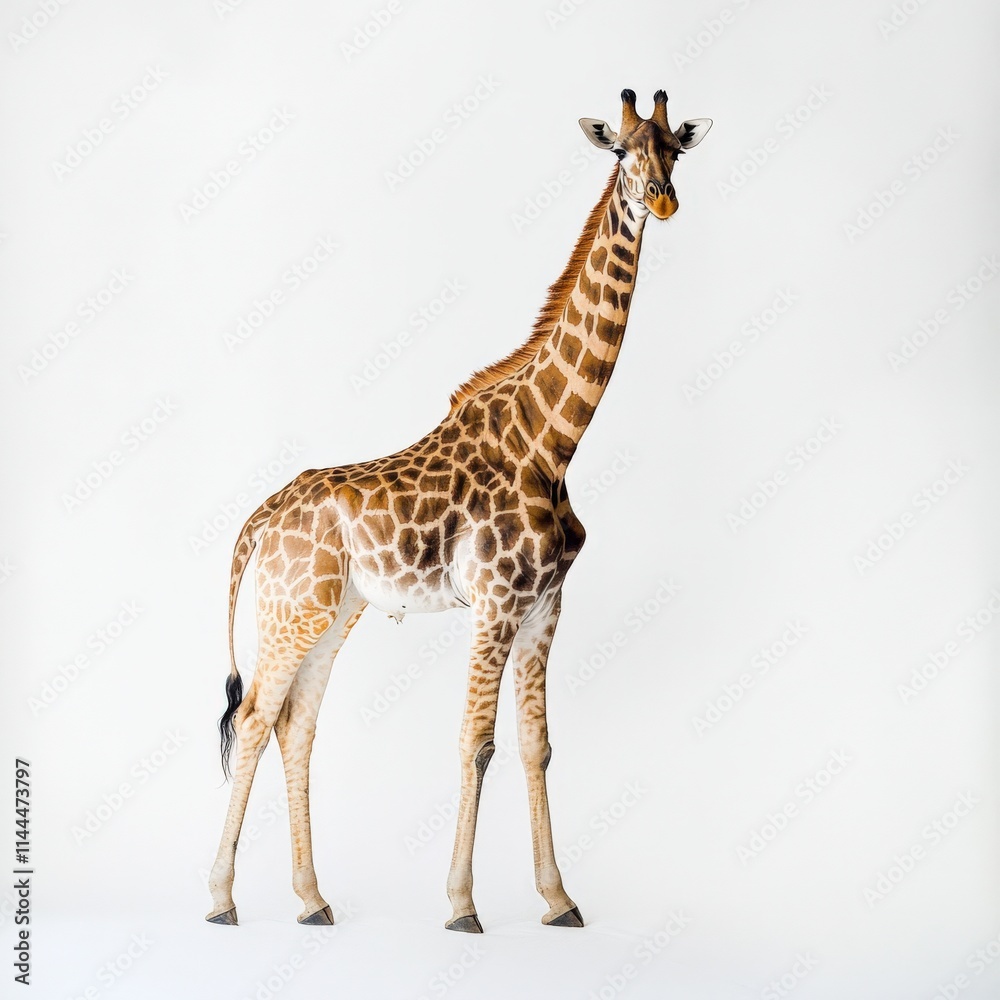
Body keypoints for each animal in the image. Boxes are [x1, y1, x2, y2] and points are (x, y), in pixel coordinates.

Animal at [206, 88, 712, 932]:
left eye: (675, 147)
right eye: (621, 152)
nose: (664, 200)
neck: (553, 440)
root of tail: (258, 520)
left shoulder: (546, 604)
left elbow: (538, 745)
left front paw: (558, 901)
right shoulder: (496, 602)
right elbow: (477, 741)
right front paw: (462, 905)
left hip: (334, 612)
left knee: (296, 723)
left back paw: (312, 899)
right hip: (291, 610)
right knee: (253, 718)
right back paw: (219, 899)